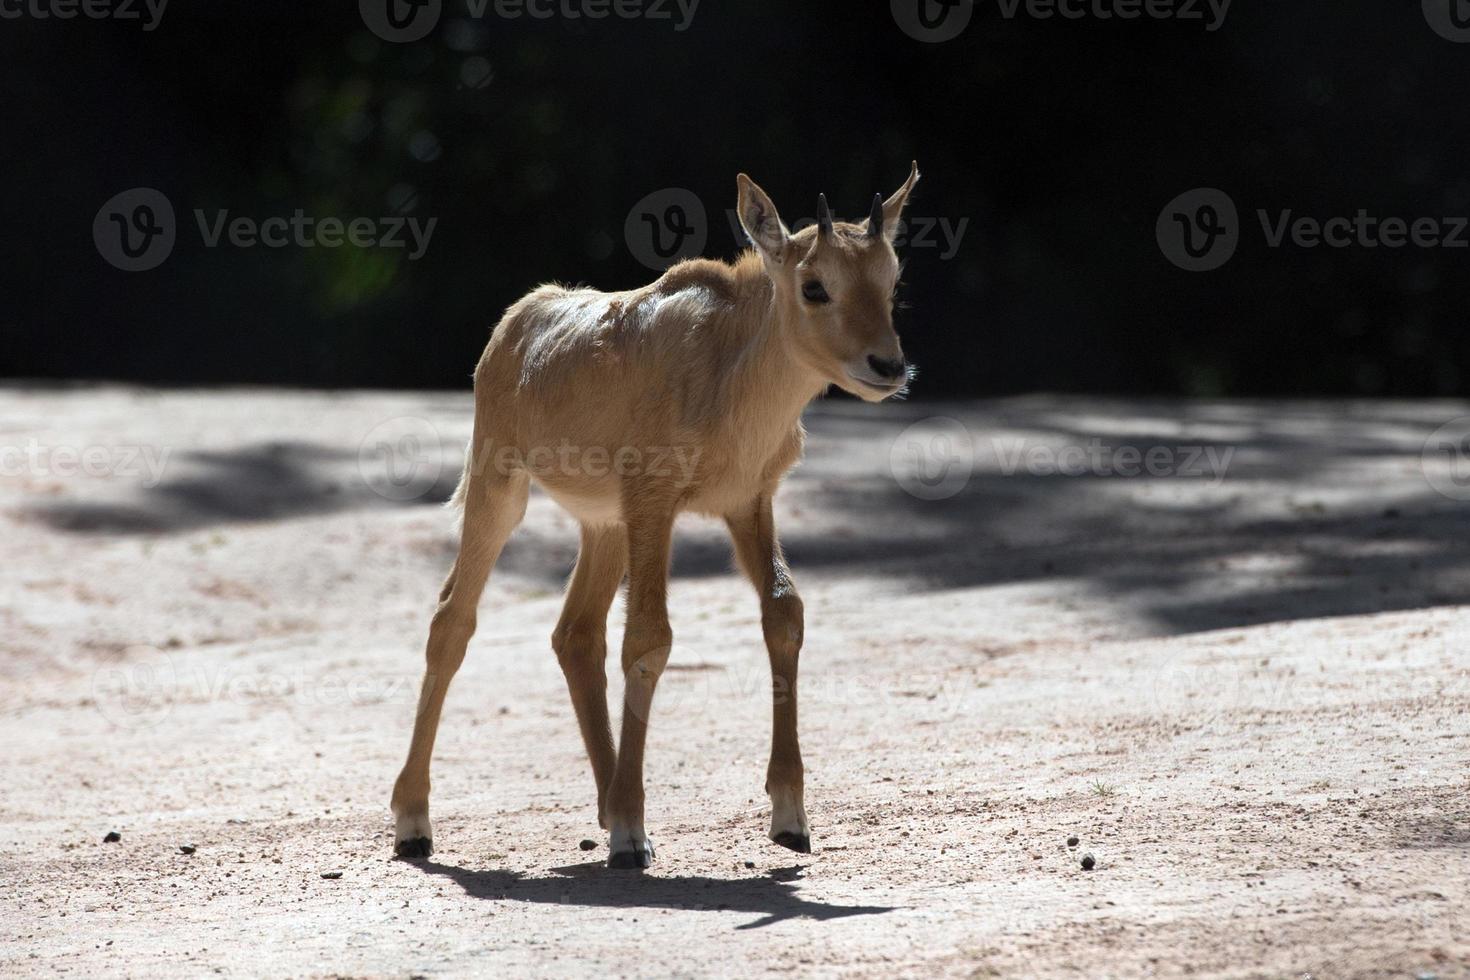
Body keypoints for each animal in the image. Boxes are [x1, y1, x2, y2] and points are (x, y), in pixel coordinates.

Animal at [391, 164, 917, 869]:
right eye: (815, 286)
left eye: (891, 282)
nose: (887, 366)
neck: (728, 368)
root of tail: (518, 323)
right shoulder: (653, 498)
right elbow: (648, 639)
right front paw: (632, 831)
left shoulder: (746, 500)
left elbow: (784, 613)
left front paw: (790, 817)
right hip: (499, 487)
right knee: (452, 620)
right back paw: (414, 821)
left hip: (605, 526)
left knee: (575, 634)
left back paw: (605, 800)